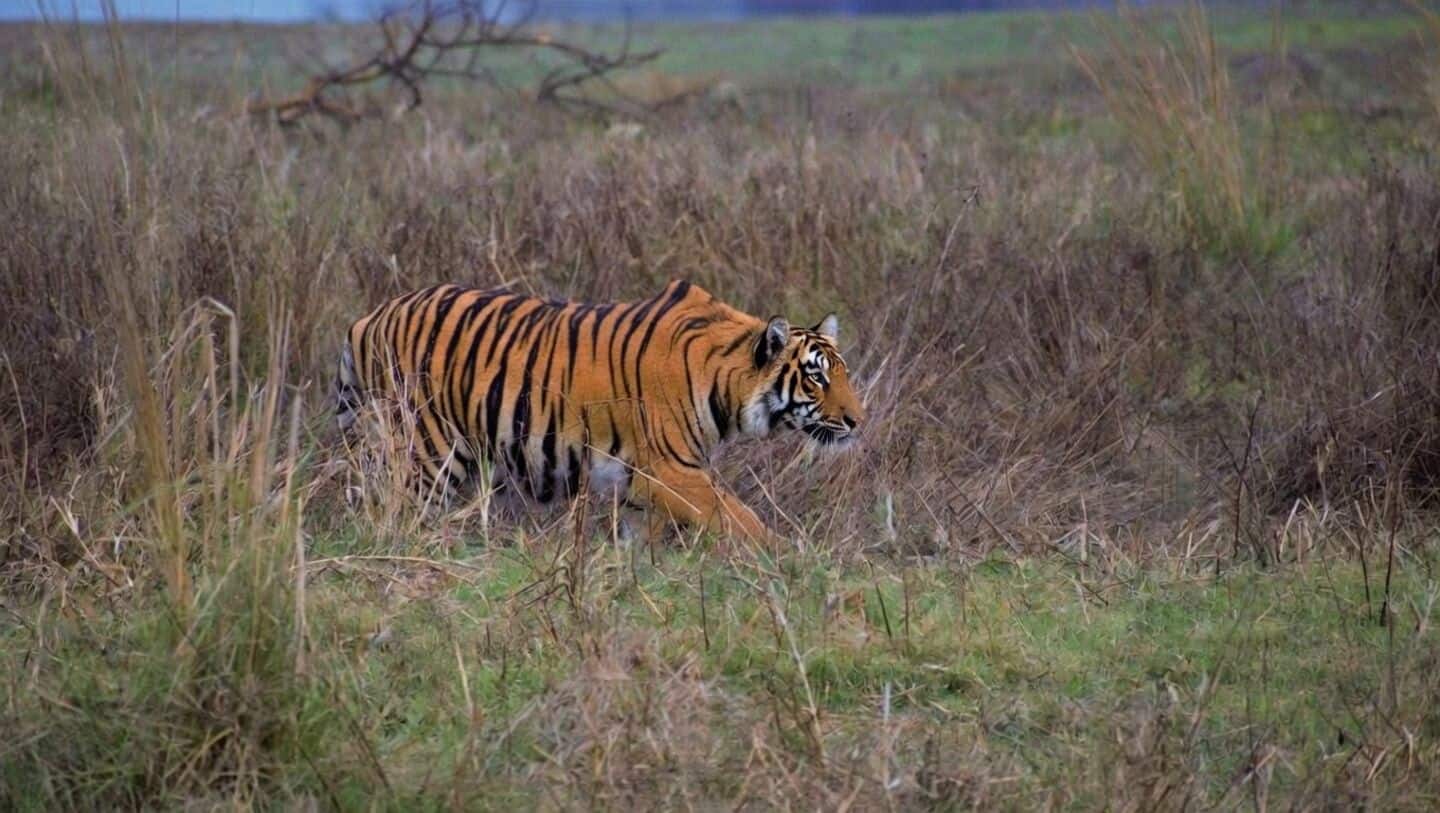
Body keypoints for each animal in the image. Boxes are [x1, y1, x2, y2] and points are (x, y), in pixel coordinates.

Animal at [334, 280, 863, 545]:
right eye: (816, 378)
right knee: (394, 513)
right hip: (426, 452)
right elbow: (741, 518)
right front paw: (787, 560)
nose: (858, 420)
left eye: (842, 372)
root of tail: (367, 319)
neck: (728, 383)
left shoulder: (639, 484)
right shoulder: (674, 472)